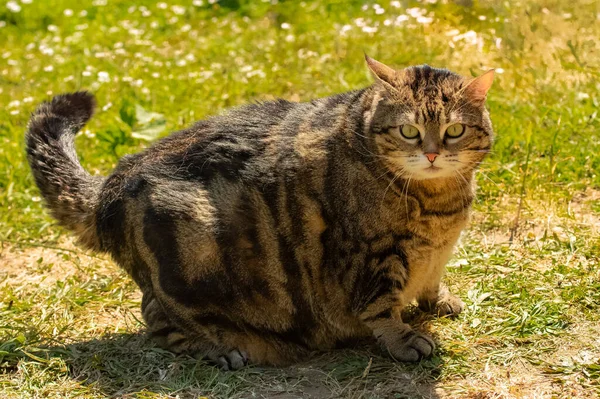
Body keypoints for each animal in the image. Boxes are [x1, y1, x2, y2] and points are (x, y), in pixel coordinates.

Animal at [25, 56, 494, 368]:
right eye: (409, 131)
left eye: (454, 130)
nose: (431, 154)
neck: (441, 204)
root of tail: (115, 179)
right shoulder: (372, 253)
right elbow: (381, 306)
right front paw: (403, 338)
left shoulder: (434, 253)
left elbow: (431, 281)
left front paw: (439, 301)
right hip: (188, 245)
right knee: (159, 319)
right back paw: (222, 349)